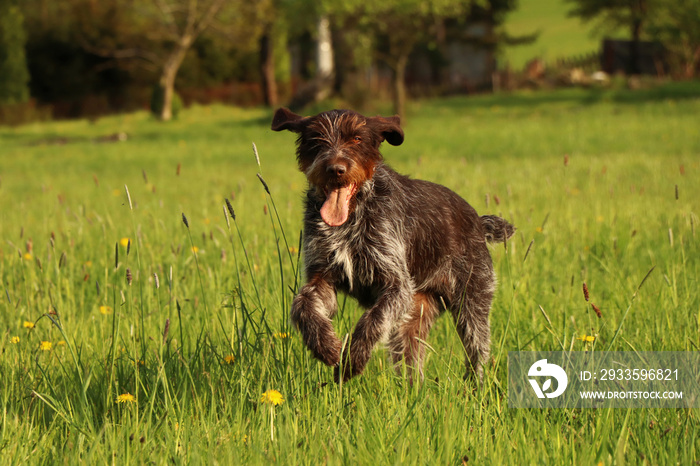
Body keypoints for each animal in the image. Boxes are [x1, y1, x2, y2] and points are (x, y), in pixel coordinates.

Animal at [272, 108, 516, 382]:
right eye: (316, 139)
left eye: (357, 139)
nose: (335, 169)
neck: (353, 216)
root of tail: (478, 222)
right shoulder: (322, 277)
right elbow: (302, 306)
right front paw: (325, 345)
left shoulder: (396, 285)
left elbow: (373, 320)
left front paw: (353, 360)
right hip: (414, 317)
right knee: (411, 357)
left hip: (472, 304)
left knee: (476, 352)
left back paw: (473, 386)